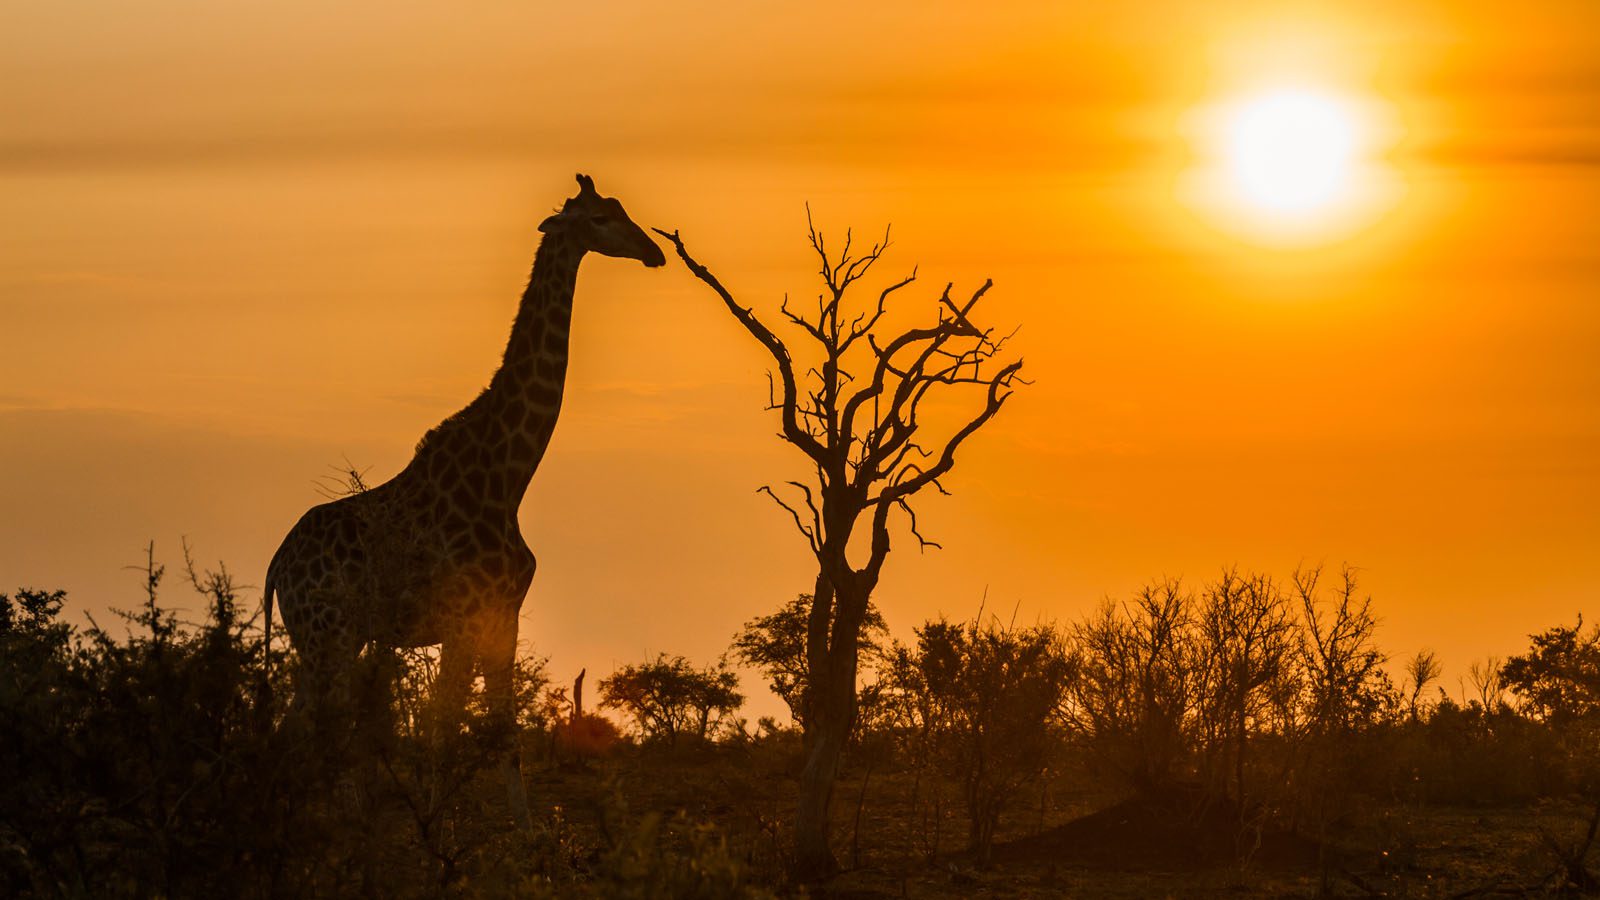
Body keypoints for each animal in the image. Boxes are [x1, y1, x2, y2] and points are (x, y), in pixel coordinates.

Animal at [262, 171, 662, 826]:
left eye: (621, 207)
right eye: (601, 219)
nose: (654, 252)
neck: (508, 476)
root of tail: (277, 563)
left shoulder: (505, 613)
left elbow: (502, 731)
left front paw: (527, 831)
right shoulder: (459, 617)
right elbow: (444, 730)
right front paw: (437, 826)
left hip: (322, 638)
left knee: (289, 728)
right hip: (329, 636)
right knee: (320, 729)